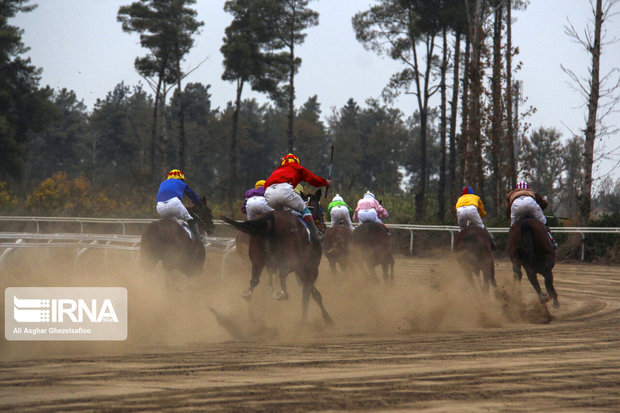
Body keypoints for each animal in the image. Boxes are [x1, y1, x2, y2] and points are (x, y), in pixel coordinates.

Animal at [220, 188, 332, 324]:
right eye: (321, 209)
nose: (324, 227)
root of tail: (269, 219)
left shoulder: (301, 270)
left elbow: (312, 292)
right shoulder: (310, 268)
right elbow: (309, 295)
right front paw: (311, 320)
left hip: (257, 259)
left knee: (254, 280)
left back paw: (249, 298)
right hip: (288, 259)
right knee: (282, 275)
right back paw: (281, 294)